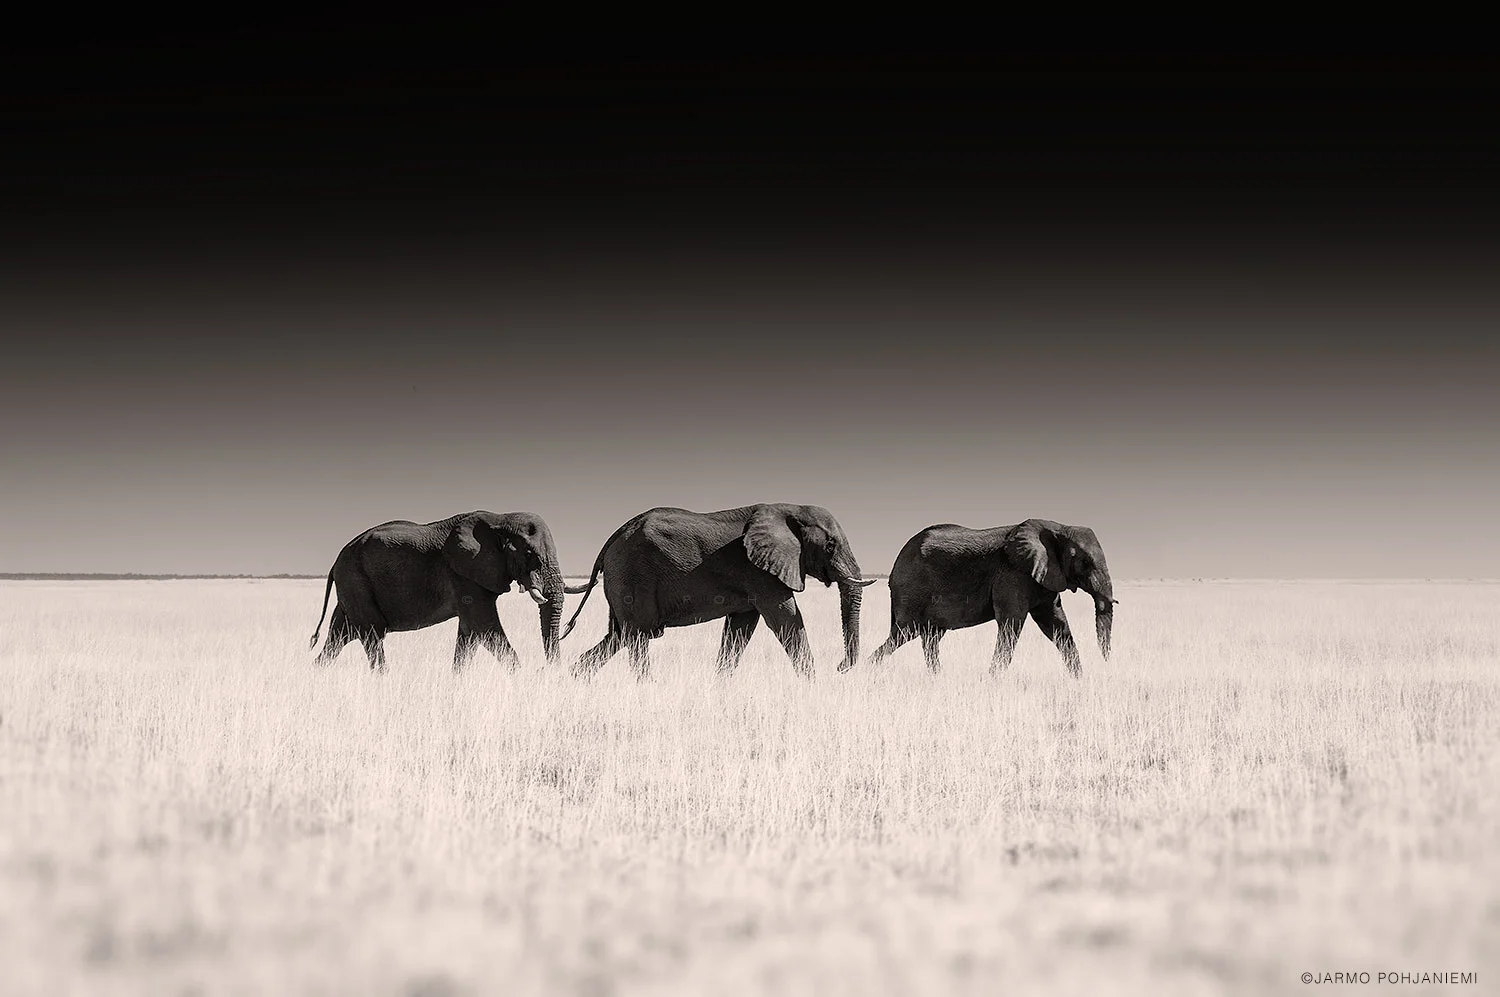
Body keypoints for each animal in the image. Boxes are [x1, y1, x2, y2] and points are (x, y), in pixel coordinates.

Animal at [307, 511, 566, 671]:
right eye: (530, 554)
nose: (544, 670)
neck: (501, 519)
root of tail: (335, 561)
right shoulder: (463, 574)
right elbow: (484, 625)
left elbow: (470, 633)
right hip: (355, 579)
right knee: (371, 635)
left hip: (352, 585)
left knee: (340, 635)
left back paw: (316, 673)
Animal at [561, 504, 876, 679]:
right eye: (830, 545)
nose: (841, 667)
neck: (790, 510)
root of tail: (613, 536)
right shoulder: (759, 571)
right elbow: (785, 618)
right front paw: (812, 686)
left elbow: (741, 628)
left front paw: (720, 686)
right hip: (632, 573)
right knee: (638, 636)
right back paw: (647, 686)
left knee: (619, 635)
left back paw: (577, 678)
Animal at [864, 518, 1116, 676]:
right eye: (1084, 562)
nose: (1106, 663)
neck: (1057, 527)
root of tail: (894, 568)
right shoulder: (1012, 574)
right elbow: (1012, 623)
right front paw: (993, 680)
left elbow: (1056, 624)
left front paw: (1079, 680)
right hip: (911, 590)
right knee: (906, 632)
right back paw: (865, 670)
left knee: (929, 638)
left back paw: (936, 677)